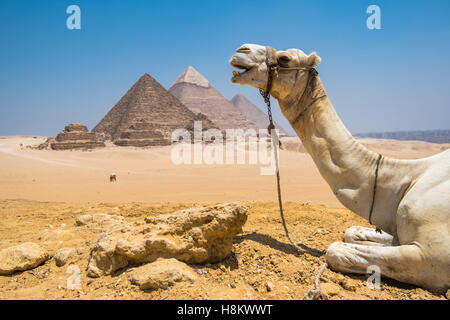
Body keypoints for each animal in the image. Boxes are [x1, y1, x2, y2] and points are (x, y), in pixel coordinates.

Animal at [230, 43, 448, 292]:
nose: (241, 50)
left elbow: (335, 250)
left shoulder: (433, 256)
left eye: (284, 59)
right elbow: (351, 232)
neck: (405, 179)